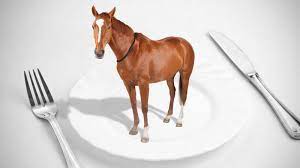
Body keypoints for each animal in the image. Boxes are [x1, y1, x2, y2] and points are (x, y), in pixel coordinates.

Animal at [91, 6, 195, 143]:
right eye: (93, 26)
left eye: (108, 26)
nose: (99, 53)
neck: (130, 52)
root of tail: (184, 43)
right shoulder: (128, 84)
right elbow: (134, 104)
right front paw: (134, 129)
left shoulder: (144, 84)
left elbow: (144, 107)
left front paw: (145, 135)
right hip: (169, 76)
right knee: (172, 92)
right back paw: (167, 117)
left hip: (185, 75)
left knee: (183, 96)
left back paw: (179, 121)